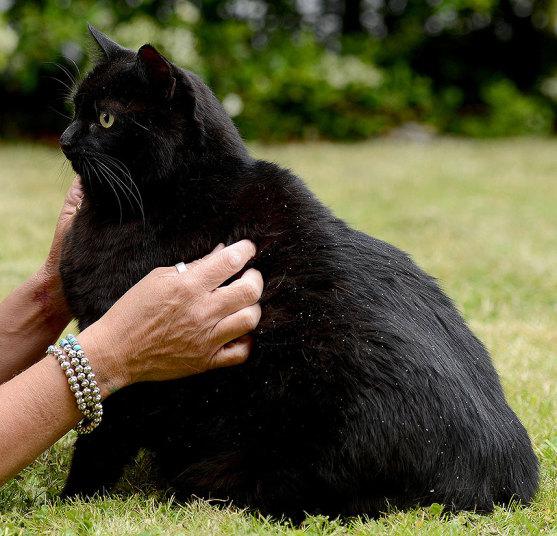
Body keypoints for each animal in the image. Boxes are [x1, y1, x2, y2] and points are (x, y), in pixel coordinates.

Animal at [57, 26, 540, 520]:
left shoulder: (131, 363)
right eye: (75, 109)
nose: (65, 136)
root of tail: (510, 479)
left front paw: (71, 498)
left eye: (106, 119)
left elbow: (101, 438)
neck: (169, 201)